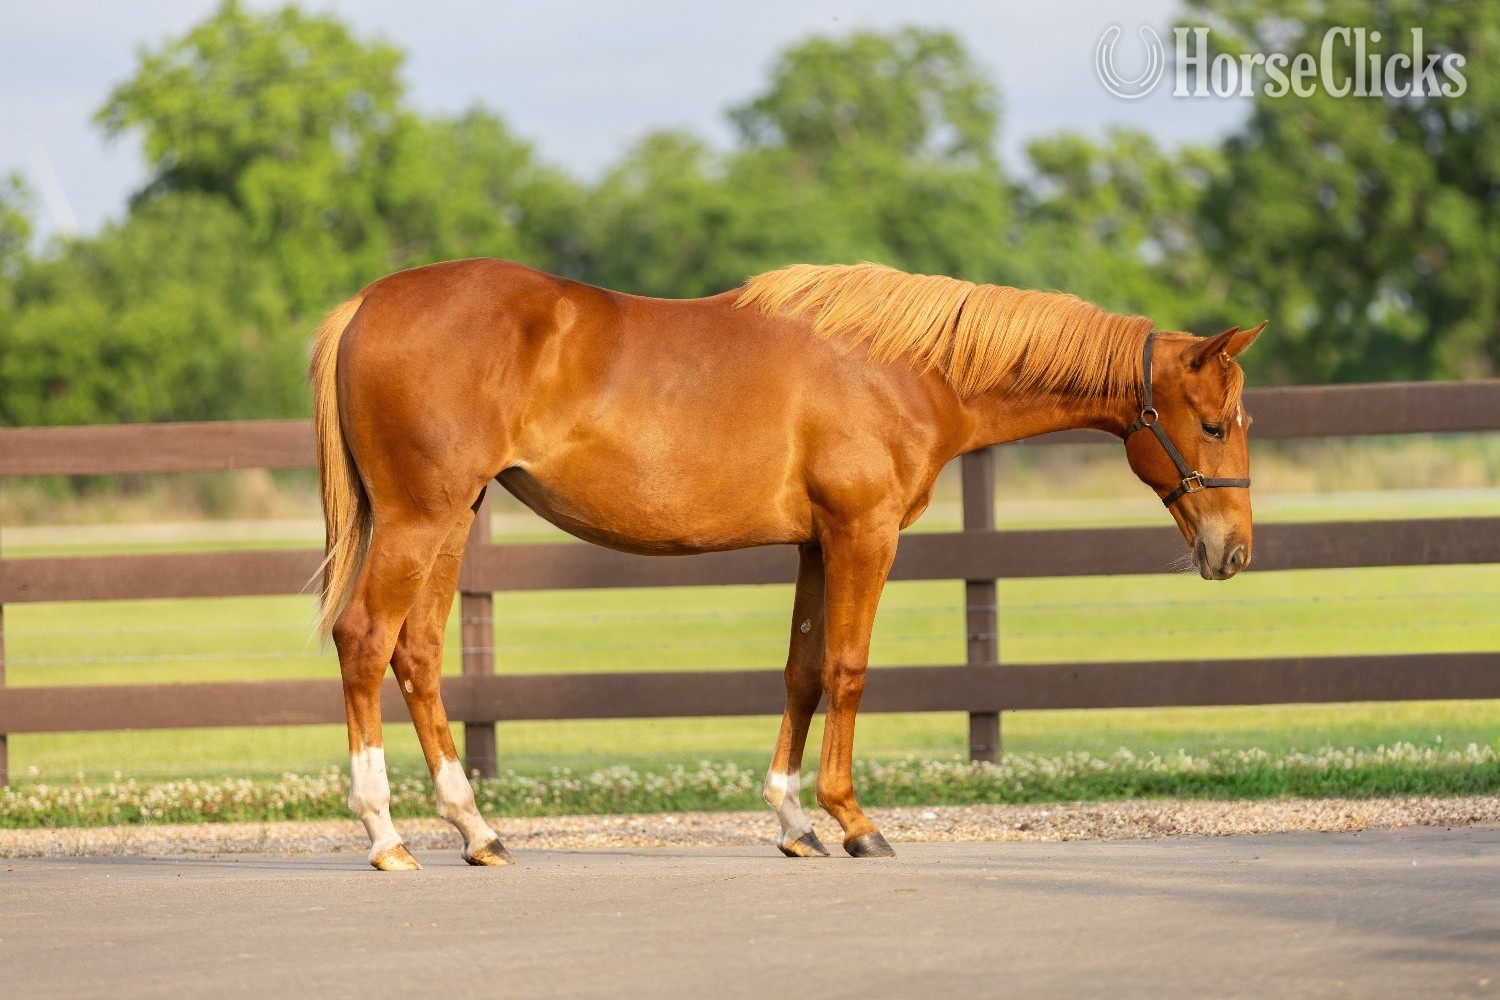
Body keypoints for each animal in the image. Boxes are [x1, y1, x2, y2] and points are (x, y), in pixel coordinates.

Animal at [309, 259, 1262, 870]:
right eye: (1216, 424)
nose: (1235, 551)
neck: (907, 370)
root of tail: (367, 302)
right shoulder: (863, 535)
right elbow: (847, 670)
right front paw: (853, 819)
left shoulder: (814, 544)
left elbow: (802, 672)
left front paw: (794, 820)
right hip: (418, 519)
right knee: (364, 640)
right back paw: (386, 836)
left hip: (451, 521)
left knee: (416, 654)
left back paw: (476, 832)